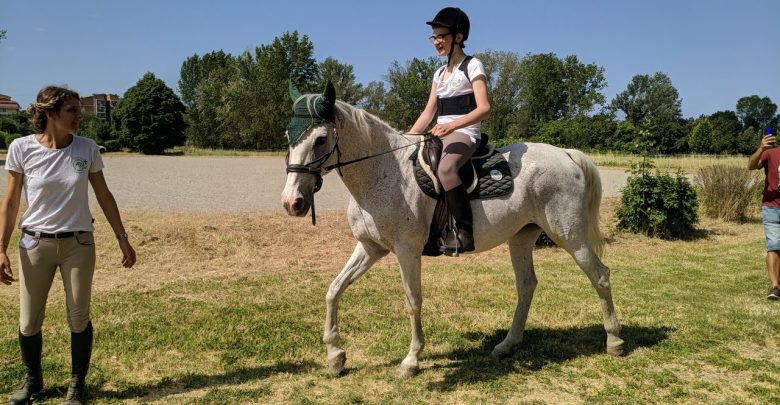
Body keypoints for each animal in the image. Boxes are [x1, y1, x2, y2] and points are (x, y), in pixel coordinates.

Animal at [280, 83, 620, 378]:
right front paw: (335, 357)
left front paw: (411, 361)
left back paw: (614, 341)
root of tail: (566, 154)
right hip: (522, 238)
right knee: (527, 286)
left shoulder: (406, 251)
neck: (386, 174)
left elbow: (412, 300)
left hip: (570, 236)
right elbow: (334, 290)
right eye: (288, 134)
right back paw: (507, 345)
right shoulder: (370, 247)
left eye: (320, 139)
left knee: (600, 275)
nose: (292, 202)